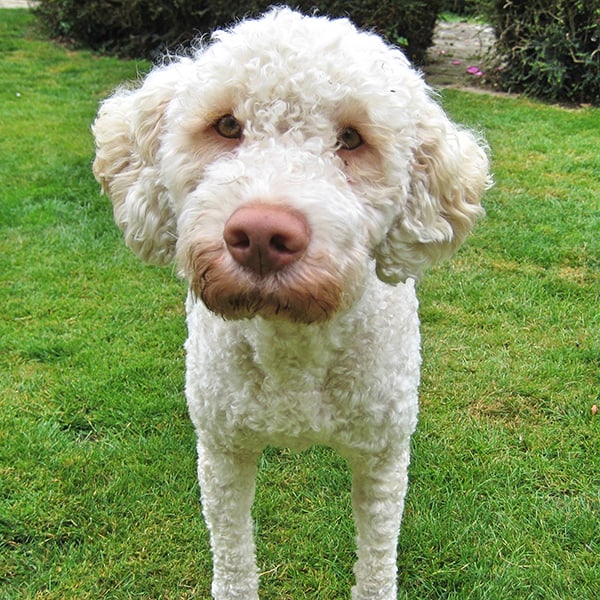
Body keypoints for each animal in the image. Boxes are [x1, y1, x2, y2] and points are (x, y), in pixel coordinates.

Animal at [92, 8, 490, 599]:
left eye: (352, 139)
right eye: (226, 126)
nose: (260, 234)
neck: (292, 343)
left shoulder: (383, 459)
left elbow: (377, 564)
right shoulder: (223, 452)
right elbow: (233, 563)